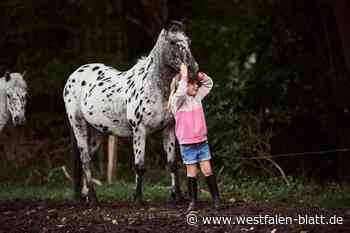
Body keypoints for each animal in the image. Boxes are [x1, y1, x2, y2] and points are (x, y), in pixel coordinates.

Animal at [63, 20, 198, 205]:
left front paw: (177, 196)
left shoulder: (169, 128)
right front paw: (138, 199)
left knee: (88, 157)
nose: (193, 70)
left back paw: (85, 195)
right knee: (84, 159)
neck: (153, 86)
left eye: (189, 41)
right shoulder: (139, 130)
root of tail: (74, 74)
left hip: (97, 131)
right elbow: (139, 166)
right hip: (78, 125)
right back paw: (93, 198)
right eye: (172, 42)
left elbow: (172, 162)